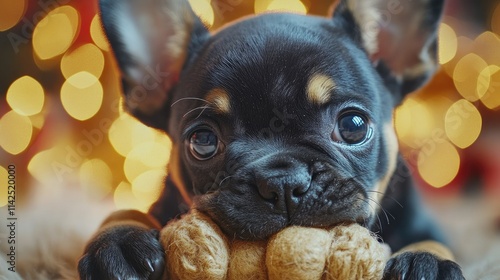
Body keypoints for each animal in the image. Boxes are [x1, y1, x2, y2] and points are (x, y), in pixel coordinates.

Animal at [78, 0, 464, 278]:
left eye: (353, 125)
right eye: (203, 141)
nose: (282, 182)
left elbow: (435, 241)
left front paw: (426, 260)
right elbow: (126, 212)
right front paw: (117, 241)